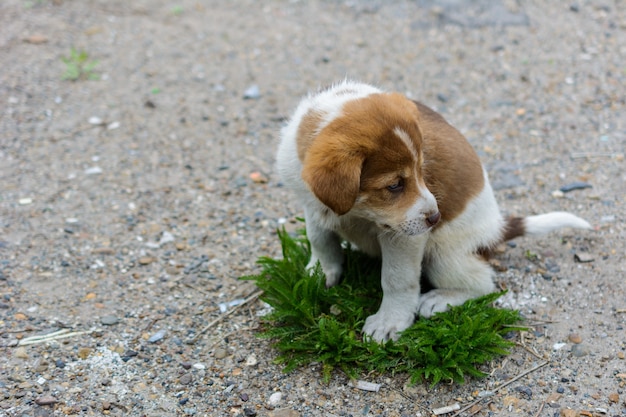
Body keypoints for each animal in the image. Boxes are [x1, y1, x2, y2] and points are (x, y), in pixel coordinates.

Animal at [274, 81, 588, 342]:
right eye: (395, 185)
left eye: (422, 170)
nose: (437, 217)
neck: (357, 213)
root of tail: (497, 229)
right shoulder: (313, 207)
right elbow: (321, 241)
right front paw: (318, 272)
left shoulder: (404, 238)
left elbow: (396, 279)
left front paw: (389, 321)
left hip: (444, 255)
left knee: (483, 284)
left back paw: (439, 300)